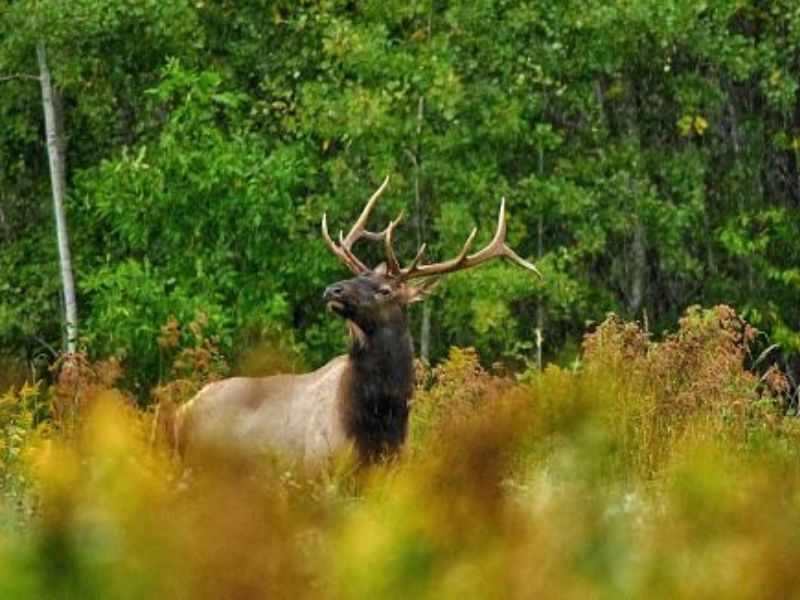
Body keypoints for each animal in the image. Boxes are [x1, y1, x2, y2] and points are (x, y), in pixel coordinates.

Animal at [175, 177, 540, 468]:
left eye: (384, 289)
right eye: (357, 276)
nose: (332, 289)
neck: (379, 419)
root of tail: (180, 413)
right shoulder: (319, 468)